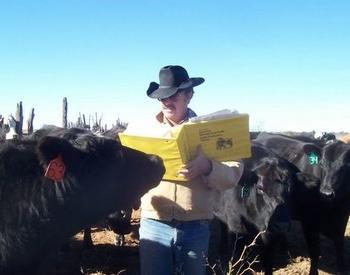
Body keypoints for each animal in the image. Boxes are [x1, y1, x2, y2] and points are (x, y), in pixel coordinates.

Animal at [254, 133, 350, 274]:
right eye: (322, 164)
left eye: (347, 165)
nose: (326, 193)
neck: (332, 208)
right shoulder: (309, 222)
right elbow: (315, 251)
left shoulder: (343, 217)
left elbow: (339, 244)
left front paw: (342, 268)